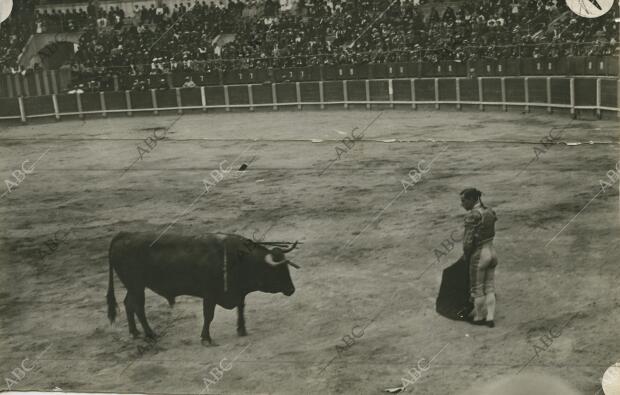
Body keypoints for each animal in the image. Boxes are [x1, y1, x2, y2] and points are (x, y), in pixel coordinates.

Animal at [104, 232, 298, 346]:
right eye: (279, 270)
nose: (292, 289)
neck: (239, 260)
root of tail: (123, 235)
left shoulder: (238, 292)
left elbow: (241, 309)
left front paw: (241, 330)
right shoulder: (209, 295)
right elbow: (209, 316)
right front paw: (206, 338)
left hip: (134, 286)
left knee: (128, 304)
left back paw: (135, 332)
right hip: (137, 286)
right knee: (138, 307)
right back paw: (150, 334)